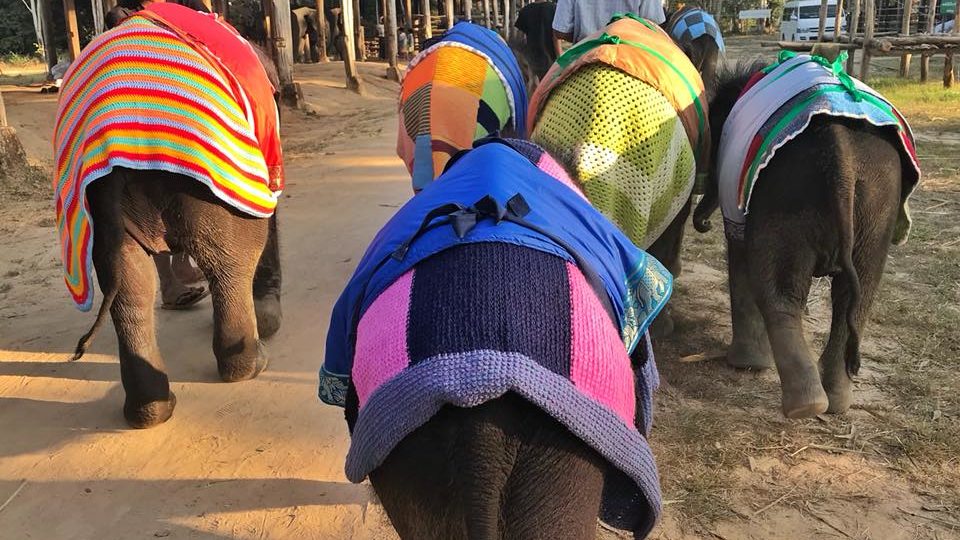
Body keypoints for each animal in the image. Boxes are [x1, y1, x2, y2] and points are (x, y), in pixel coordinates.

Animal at [56, 2, 284, 428]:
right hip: (205, 171)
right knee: (234, 258)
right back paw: (251, 362)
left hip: (101, 192)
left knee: (129, 281)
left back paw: (150, 411)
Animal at [688, 52, 924, 418]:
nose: (701, 224)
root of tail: (841, 150)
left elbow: (739, 249)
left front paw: (746, 365)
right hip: (875, 202)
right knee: (853, 295)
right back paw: (830, 403)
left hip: (789, 193)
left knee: (779, 292)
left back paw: (802, 402)